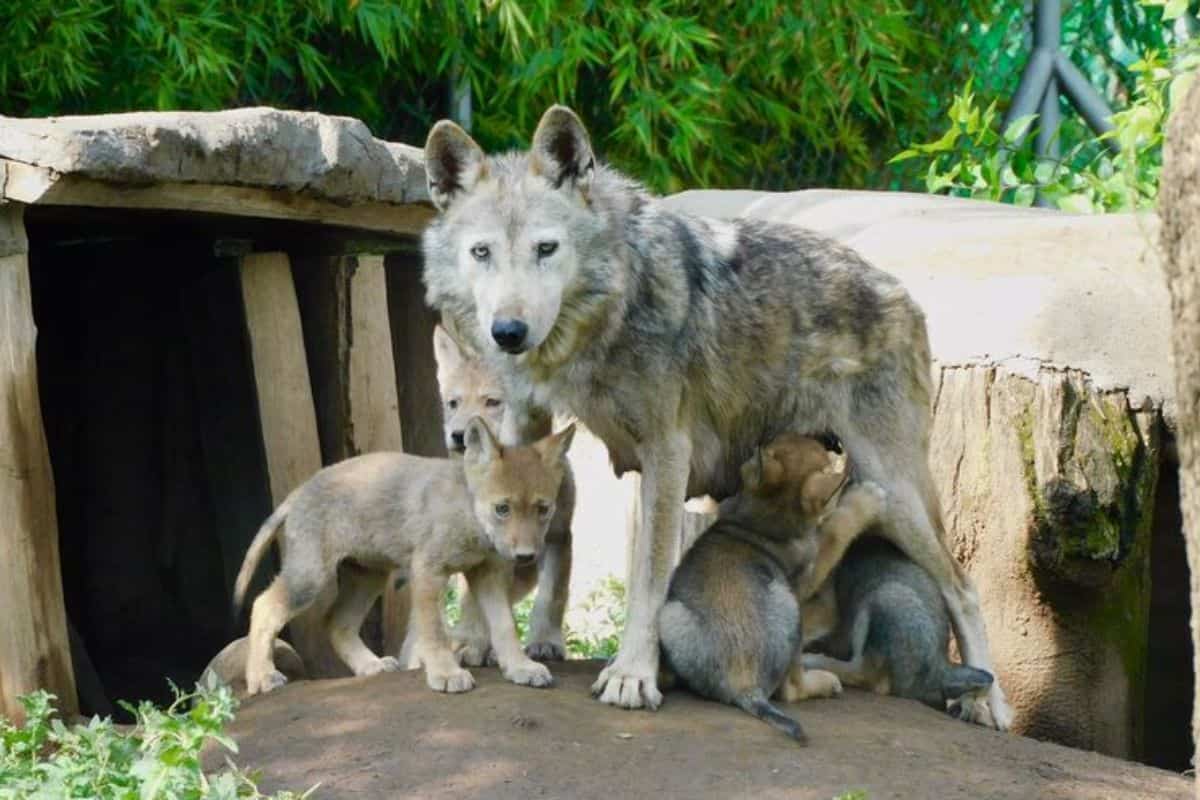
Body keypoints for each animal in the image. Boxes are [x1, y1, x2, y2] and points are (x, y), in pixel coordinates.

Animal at [234, 416, 574, 695]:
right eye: (502, 509)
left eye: (543, 509)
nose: (526, 556)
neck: (468, 515)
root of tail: (299, 491)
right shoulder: (428, 572)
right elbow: (434, 632)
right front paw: (446, 674)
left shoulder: (488, 575)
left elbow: (505, 627)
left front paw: (520, 667)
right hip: (310, 579)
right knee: (263, 606)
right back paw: (261, 677)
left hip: (367, 577)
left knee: (336, 622)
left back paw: (369, 666)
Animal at [430, 324, 576, 664]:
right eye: (453, 403)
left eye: (492, 402)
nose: (458, 435)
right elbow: (478, 606)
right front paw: (473, 644)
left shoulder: (558, 538)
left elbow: (551, 597)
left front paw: (544, 642)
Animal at [659, 433, 885, 743]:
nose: (832, 443)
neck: (764, 520)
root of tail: (744, 685)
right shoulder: (810, 571)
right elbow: (836, 529)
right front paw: (867, 500)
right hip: (790, 605)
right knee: (791, 689)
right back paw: (826, 682)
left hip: (670, 615)